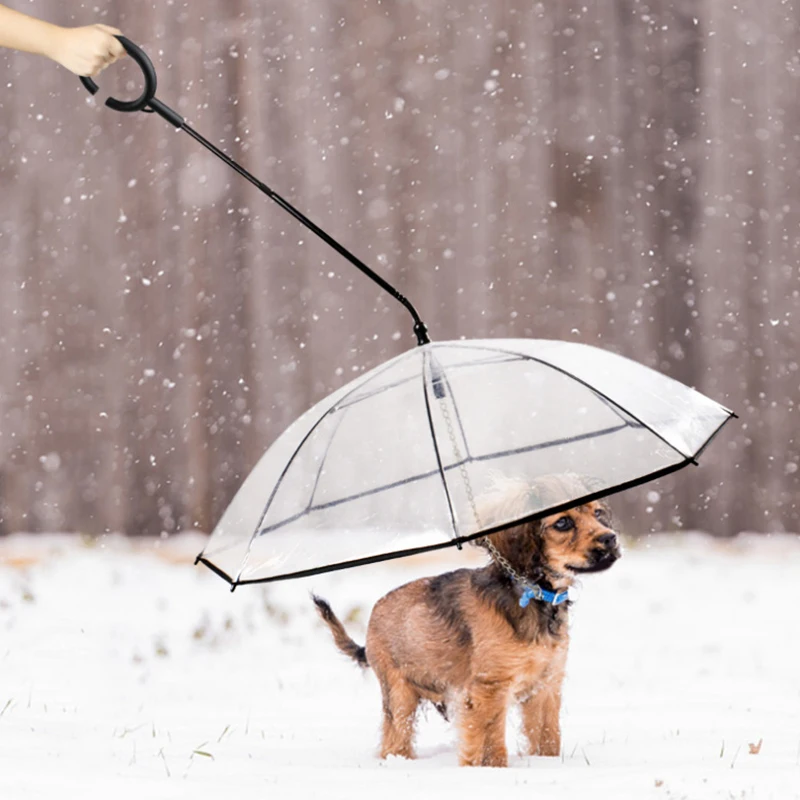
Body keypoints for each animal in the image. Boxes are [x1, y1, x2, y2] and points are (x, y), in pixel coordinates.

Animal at [310, 476, 620, 768]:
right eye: (563, 522)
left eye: (598, 513)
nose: (611, 539)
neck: (533, 595)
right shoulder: (490, 689)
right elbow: (492, 746)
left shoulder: (546, 686)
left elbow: (548, 739)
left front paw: (549, 765)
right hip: (399, 695)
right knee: (394, 741)